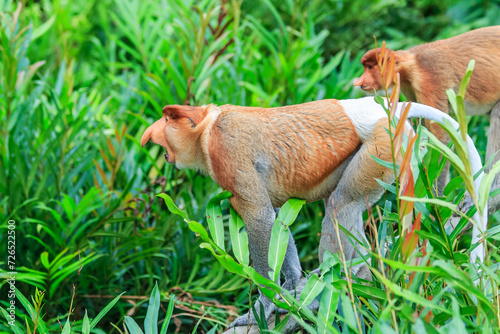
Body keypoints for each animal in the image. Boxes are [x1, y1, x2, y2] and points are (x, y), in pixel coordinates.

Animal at [140, 98, 484, 328]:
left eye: (169, 118)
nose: (149, 133)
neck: (207, 128)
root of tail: (387, 108)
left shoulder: (226, 149)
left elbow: (260, 217)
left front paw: (264, 306)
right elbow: (277, 217)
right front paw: (292, 285)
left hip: (383, 145)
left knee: (341, 204)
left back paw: (339, 280)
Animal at [354, 26, 500, 214]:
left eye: (371, 67)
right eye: (366, 67)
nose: (359, 81)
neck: (411, 63)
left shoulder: (429, 78)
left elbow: (440, 136)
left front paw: (436, 201)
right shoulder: (409, 86)